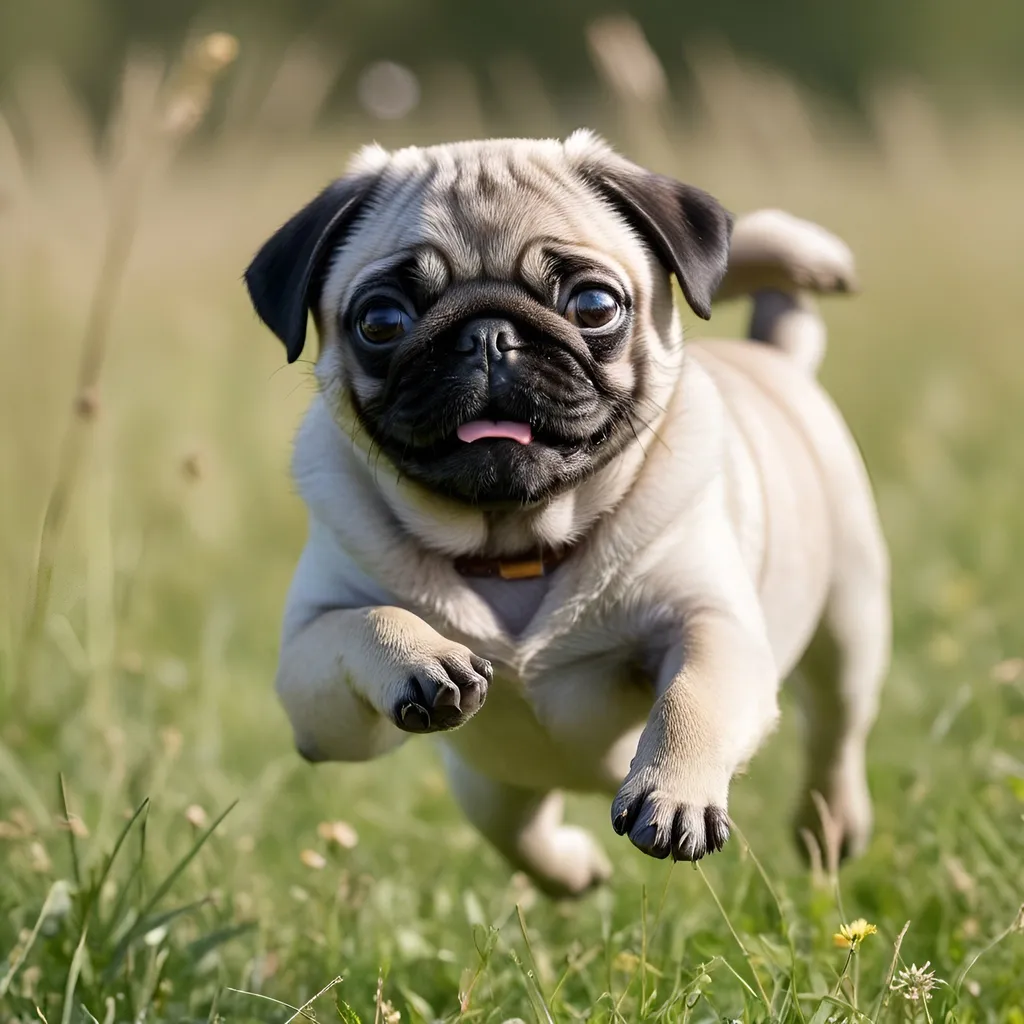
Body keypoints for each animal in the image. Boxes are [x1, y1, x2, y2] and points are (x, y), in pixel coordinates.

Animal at [245, 130, 888, 897]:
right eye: (381, 321)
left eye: (593, 306)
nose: (488, 336)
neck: (516, 545)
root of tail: (771, 353)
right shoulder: (314, 692)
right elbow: (363, 620)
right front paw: (424, 657)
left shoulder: (710, 622)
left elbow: (692, 696)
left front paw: (674, 794)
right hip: (489, 782)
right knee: (517, 830)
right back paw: (572, 871)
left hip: (849, 623)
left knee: (836, 733)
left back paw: (830, 826)